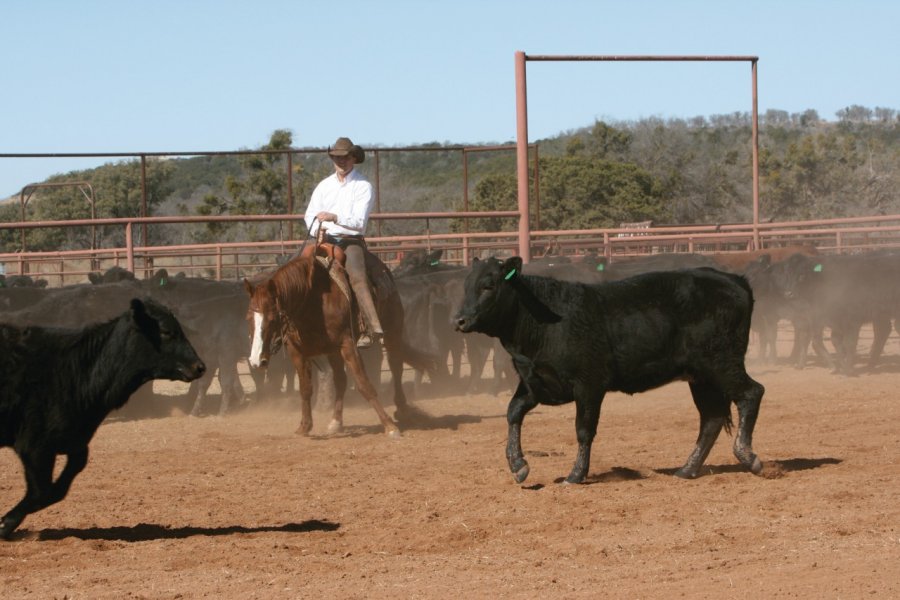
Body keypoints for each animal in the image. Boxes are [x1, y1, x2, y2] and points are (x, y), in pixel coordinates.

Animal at [0, 298, 206, 536]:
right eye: (166, 331)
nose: (200, 367)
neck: (76, 370)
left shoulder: (75, 442)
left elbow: (57, 489)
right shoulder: (35, 446)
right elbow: (41, 492)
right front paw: (5, 523)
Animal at [241, 243, 434, 436]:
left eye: (272, 319)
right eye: (248, 318)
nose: (256, 360)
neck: (312, 302)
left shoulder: (348, 344)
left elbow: (364, 384)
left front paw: (389, 426)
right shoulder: (297, 351)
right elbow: (305, 388)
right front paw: (304, 426)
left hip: (392, 331)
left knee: (396, 366)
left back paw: (402, 409)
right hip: (333, 351)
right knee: (341, 381)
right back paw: (336, 421)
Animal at [454, 255, 764, 486]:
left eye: (488, 285)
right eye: (465, 285)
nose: (459, 320)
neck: (545, 319)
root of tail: (735, 281)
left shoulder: (589, 386)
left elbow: (583, 429)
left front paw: (575, 474)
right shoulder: (535, 383)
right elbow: (513, 412)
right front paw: (518, 464)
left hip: (721, 363)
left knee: (751, 393)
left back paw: (748, 457)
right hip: (701, 376)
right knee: (711, 419)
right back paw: (687, 469)